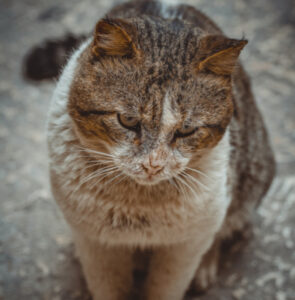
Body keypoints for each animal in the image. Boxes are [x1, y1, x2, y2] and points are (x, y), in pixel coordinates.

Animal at [46, 0, 276, 300]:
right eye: (127, 120)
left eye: (187, 131)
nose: (152, 164)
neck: (138, 206)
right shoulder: (97, 243)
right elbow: (108, 285)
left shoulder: (185, 245)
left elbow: (167, 285)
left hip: (249, 178)